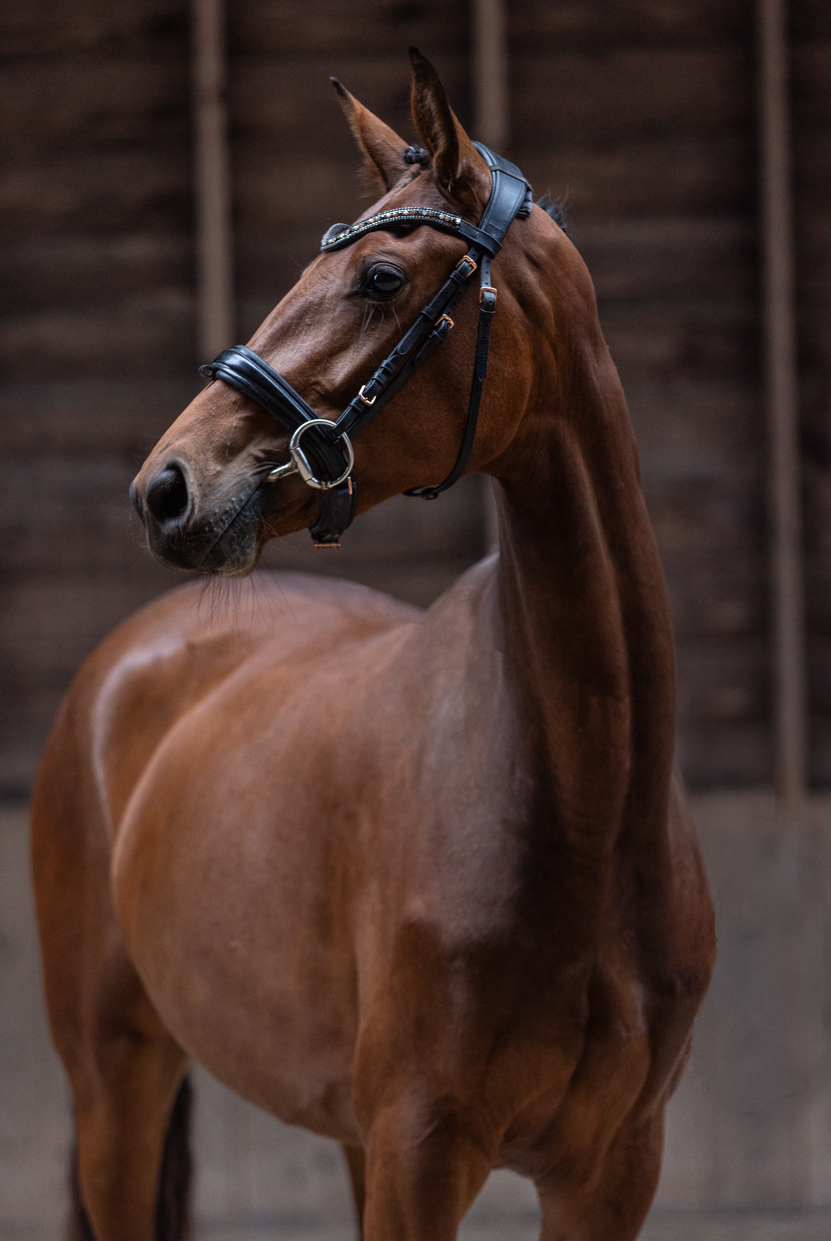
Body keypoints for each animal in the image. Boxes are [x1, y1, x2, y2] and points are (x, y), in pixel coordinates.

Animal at [32, 49, 715, 1241]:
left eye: (383, 278)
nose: (165, 489)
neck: (588, 813)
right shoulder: (421, 1152)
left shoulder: (611, 1168)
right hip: (116, 1076)